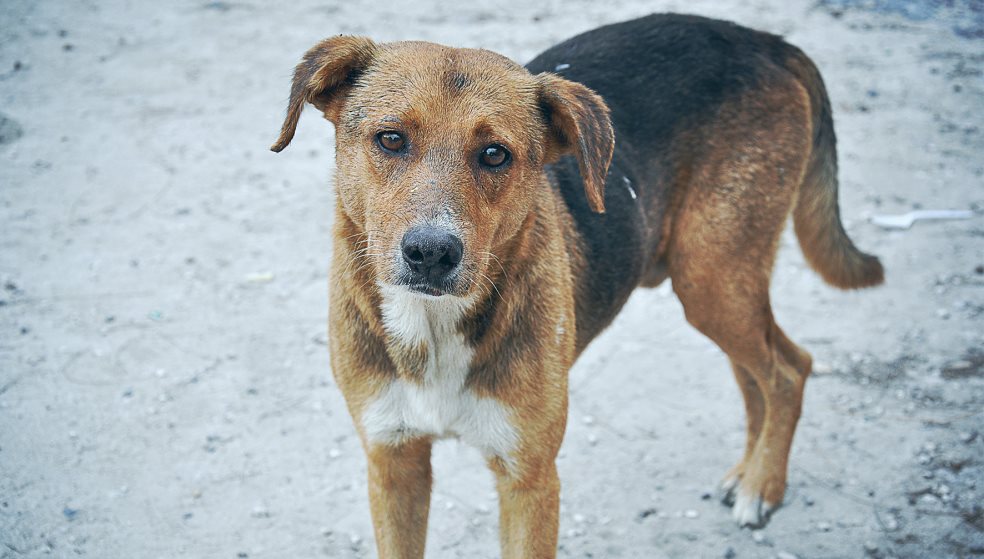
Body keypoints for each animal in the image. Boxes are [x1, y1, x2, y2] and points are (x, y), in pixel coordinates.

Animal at [270, 13, 884, 559]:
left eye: (495, 154)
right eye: (391, 139)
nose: (431, 254)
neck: (433, 327)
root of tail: (763, 40)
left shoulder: (530, 480)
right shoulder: (393, 465)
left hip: (713, 278)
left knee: (788, 369)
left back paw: (762, 486)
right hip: (717, 283)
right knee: (762, 369)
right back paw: (748, 473)